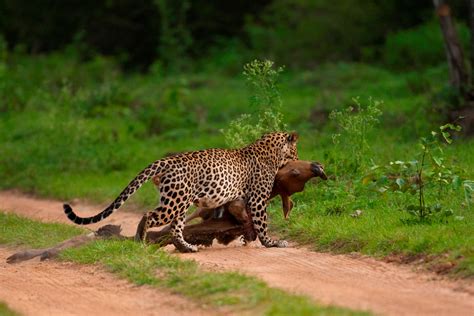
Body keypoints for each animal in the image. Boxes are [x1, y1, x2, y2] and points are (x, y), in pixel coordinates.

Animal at [64, 132, 298, 253]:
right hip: (174, 203)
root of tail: (168, 160)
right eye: (296, 149)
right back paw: (140, 242)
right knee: (149, 215)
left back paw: (187, 248)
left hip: (179, 201)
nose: (298, 157)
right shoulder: (258, 199)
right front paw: (272, 243)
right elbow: (262, 224)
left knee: (175, 229)